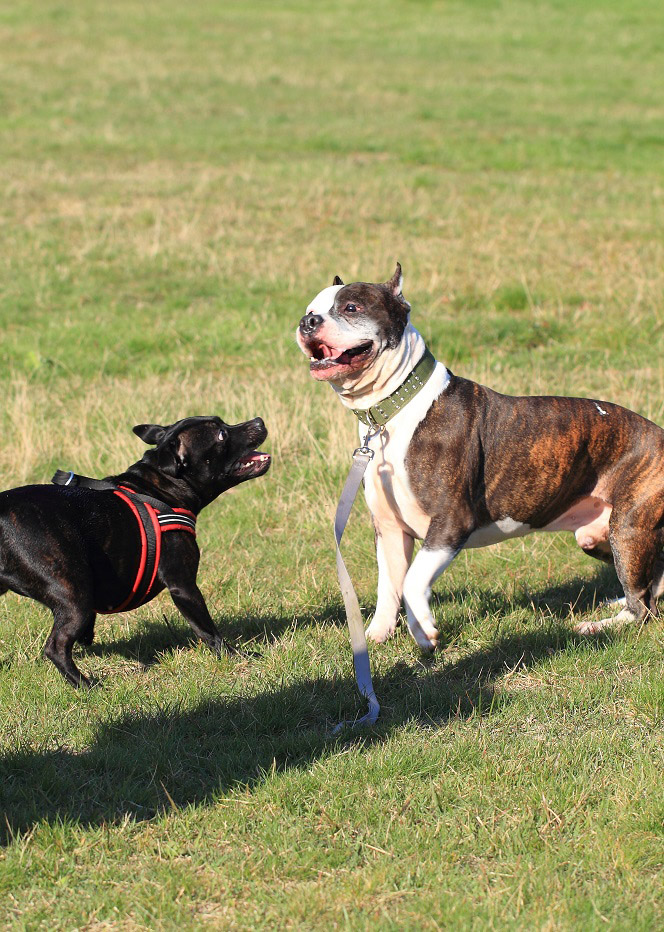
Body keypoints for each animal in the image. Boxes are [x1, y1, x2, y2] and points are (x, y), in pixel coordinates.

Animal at [0, 416, 270, 686]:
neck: (161, 488)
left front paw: (88, 636)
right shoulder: (183, 586)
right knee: (55, 647)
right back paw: (86, 685)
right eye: (221, 435)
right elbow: (207, 629)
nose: (259, 421)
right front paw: (236, 655)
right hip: (73, 596)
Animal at [296, 264, 664, 649]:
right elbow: (389, 586)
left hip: (628, 530)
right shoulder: (390, 530)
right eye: (310, 308)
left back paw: (600, 626)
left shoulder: (450, 523)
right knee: (653, 582)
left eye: (351, 307)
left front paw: (423, 629)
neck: (395, 410)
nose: (308, 321)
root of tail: (659, 433)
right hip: (598, 535)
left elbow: (413, 581)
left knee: (644, 607)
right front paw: (375, 636)